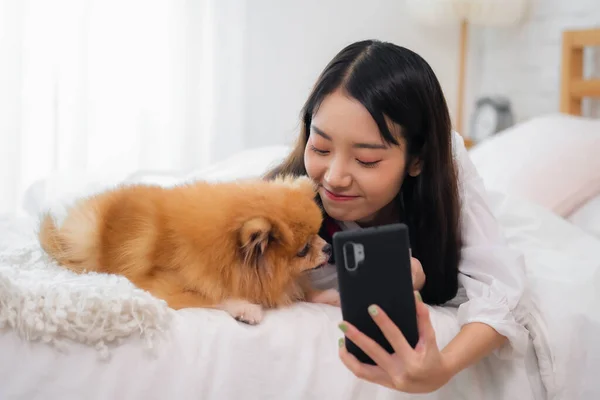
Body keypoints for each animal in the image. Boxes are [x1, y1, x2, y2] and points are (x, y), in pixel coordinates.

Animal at [37, 176, 338, 324]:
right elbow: (215, 296)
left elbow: (304, 290)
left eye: (319, 234)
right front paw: (245, 307)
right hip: (86, 237)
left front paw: (329, 295)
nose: (328, 248)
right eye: (303, 249)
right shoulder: (163, 287)